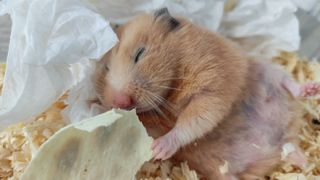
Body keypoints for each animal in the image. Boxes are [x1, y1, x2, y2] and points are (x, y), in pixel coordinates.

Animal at [93, 8, 320, 179]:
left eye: (140, 54)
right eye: (106, 69)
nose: (122, 101)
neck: (171, 88)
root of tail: (280, 139)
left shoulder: (211, 91)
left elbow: (191, 122)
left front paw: (158, 149)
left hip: (268, 70)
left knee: (290, 85)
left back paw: (311, 89)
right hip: (225, 171)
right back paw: (301, 158)